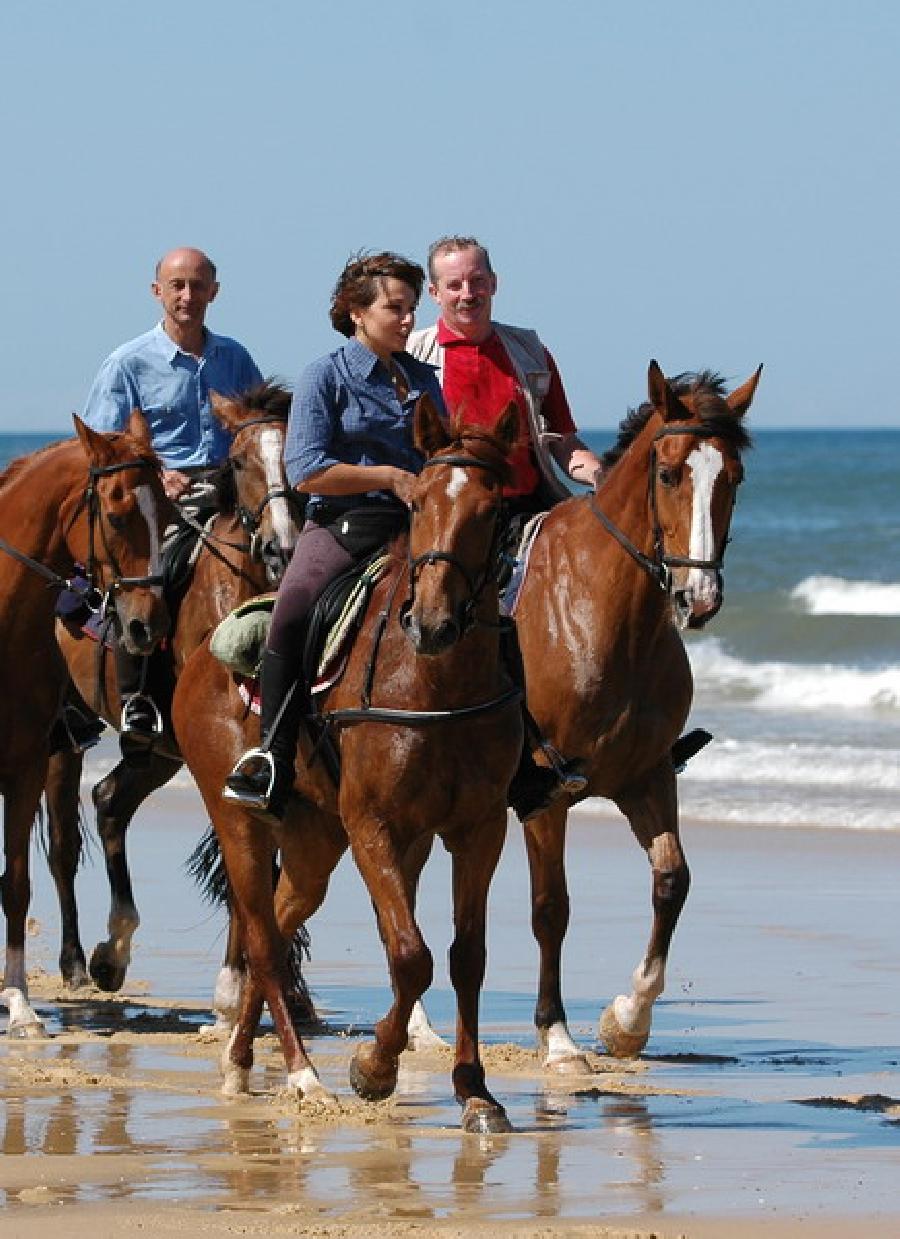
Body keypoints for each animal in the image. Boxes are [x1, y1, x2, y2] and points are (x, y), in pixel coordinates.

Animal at [0, 416, 169, 1035]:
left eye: (168, 509)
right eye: (117, 513)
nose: (147, 626)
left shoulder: (25, 764)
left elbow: (16, 884)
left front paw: (21, 1007)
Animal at [48, 381, 303, 991]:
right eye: (241, 460)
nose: (281, 547)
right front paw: (234, 982)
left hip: (159, 751)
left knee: (109, 800)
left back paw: (111, 954)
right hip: (64, 733)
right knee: (64, 840)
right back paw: (74, 962)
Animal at [173, 398, 525, 1134]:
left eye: (489, 509)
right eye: (416, 503)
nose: (432, 622)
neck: (434, 680)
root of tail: (199, 658)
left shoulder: (479, 830)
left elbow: (465, 957)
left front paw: (475, 1090)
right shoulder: (375, 825)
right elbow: (412, 955)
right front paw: (373, 1068)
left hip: (313, 839)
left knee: (278, 927)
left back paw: (242, 1059)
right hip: (241, 823)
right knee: (263, 940)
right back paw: (303, 1076)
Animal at [515, 361, 763, 1075]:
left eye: (733, 478)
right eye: (669, 474)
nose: (698, 597)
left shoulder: (645, 776)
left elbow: (672, 881)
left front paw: (627, 1020)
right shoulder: (545, 793)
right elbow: (551, 908)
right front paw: (558, 1036)